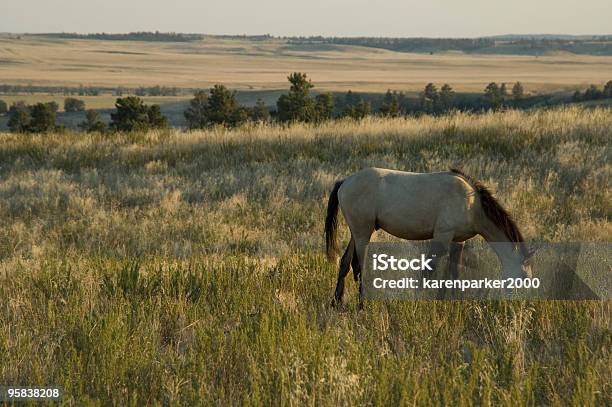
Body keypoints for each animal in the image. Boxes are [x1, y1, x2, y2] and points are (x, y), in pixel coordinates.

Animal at [322, 168, 532, 306]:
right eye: (523, 276)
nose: (520, 304)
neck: (472, 204)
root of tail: (345, 181)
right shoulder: (442, 237)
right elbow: (428, 272)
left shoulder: (458, 241)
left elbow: (453, 272)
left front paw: (452, 301)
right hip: (363, 233)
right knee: (360, 267)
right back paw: (362, 304)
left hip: (358, 232)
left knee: (345, 263)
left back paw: (336, 302)